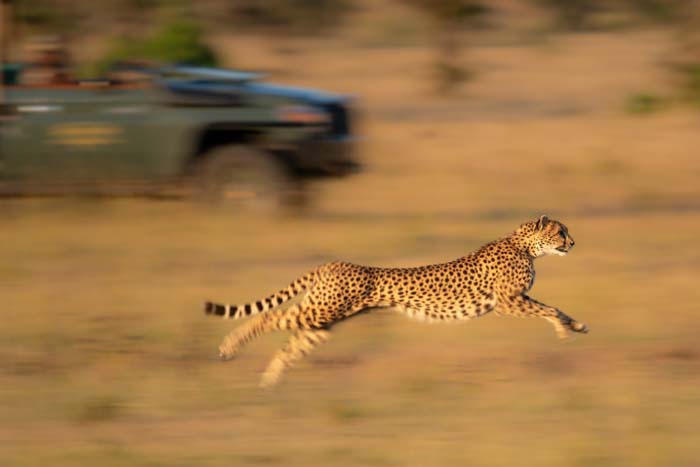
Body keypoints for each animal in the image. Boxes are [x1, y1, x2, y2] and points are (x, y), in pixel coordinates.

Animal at [202, 216, 584, 388]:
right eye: (560, 231)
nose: (573, 243)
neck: (524, 245)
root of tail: (334, 263)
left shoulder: (518, 299)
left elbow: (557, 307)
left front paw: (576, 325)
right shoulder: (508, 302)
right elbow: (550, 309)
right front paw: (565, 332)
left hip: (323, 322)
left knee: (290, 345)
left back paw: (270, 380)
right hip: (321, 310)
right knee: (267, 318)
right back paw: (229, 347)